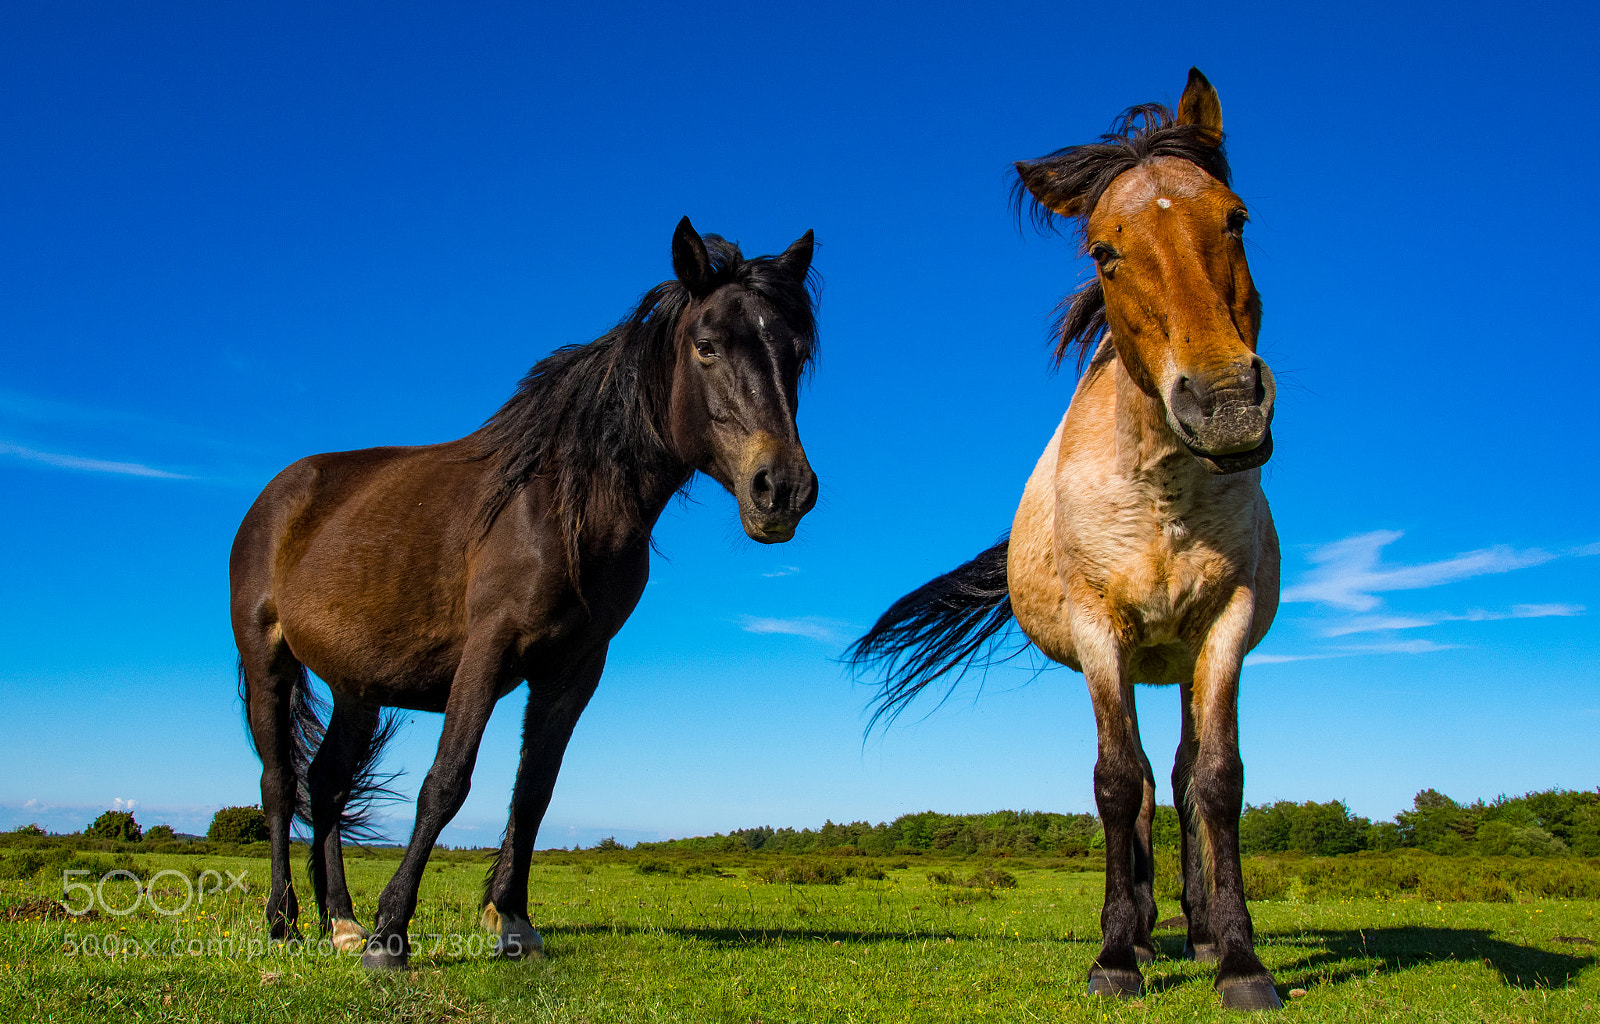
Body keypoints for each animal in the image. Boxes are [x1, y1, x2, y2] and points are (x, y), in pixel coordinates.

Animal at [230, 217, 820, 970]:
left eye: (795, 354)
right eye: (707, 346)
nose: (784, 489)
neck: (563, 505)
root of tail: (278, 493)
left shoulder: (575, 668)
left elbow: (534, 791)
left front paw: (513, 922)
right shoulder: (488, 647)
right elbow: (446, 782)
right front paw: (393, 936)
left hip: (357, 689)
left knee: (327, 783)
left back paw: (342, 921)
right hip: (267, 660)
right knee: (279, 784)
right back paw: (285, 921)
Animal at [849, 70, 1283, 1011]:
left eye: (1236, 218)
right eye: (1103, 254)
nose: (1227, 406)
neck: (1162, 491)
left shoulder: (1225, 626)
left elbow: (1220, 780)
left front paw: (1238, 958)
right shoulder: (1096, 632)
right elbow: (1117, 783)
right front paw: (1117, 955)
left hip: (1180, 657)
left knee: (1183, 771)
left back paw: (1197, 929)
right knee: (1149, 779)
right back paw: (1149, 931)